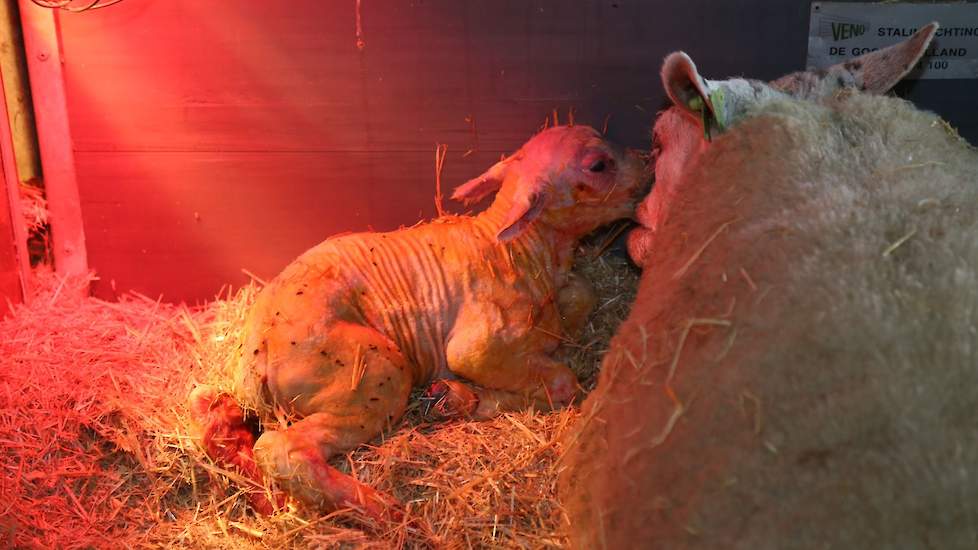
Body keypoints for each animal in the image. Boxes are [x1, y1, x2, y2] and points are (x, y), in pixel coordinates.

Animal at [191, 126, 648, 520]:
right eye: (598, 165)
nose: (648, 165)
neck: (520, 251)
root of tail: (254, 362)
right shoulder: (479, 345)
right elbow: (559, 380)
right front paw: (466, 398)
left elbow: (582, 296)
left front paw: (457, 397)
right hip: (375, 370)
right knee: (281, 448)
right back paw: (380, 510)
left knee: (218, 416)